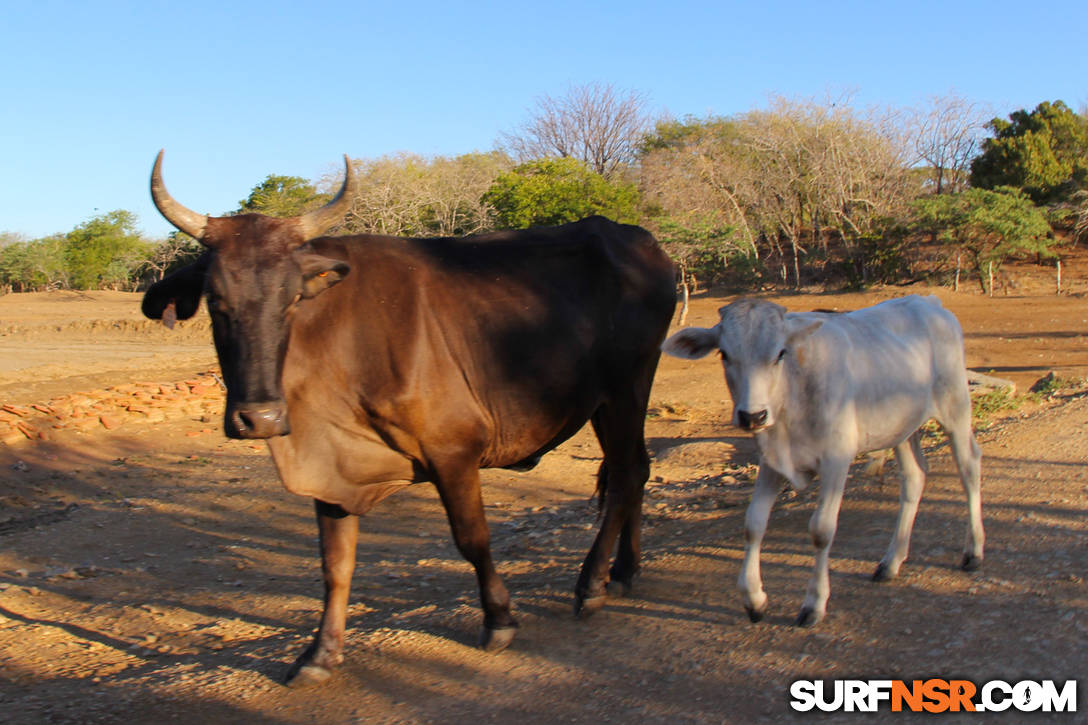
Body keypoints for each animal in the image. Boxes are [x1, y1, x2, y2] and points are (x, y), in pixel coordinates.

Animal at [141, 151, 674, 683]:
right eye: (215, 301)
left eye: (293, 298)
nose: (260, 418)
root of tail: (637, 239)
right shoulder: (335, 465)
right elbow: (335, 564)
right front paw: (319, 655)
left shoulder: (454, 449)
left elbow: (472, 538)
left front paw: (499, 618)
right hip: (606, 400)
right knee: (634, 470)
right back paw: (625, 571)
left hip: (627, 387)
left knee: (627, 474)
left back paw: (592, 584)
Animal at [661, 296, 987, 622]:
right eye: (724, 354)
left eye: (780, 353)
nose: (753, 416)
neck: (791, 396)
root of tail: (928, 301)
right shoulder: (771, 462)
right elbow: (753, 524)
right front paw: (754, 599)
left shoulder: (836, 460)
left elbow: (821, 530)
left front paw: (814, 604)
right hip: (903, 428)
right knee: (914, 477)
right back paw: (891, 562)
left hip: (956, 408)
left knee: (969, 467)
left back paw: (973, 551)